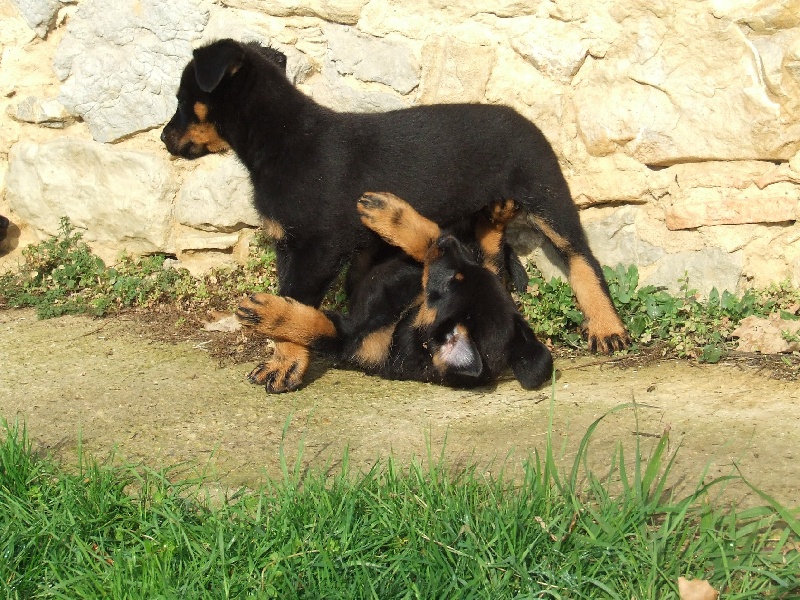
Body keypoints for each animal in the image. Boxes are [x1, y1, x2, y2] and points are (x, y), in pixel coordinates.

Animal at [234, 191, 552, 390]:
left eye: (451, 281)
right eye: (460, 274)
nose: (450, 245)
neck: (405, 319)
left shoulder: (350, 339)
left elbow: (315, 326)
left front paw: (265, 313)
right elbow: (427, 240)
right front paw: (391, 213)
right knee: (488, 251)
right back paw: (498, 214)